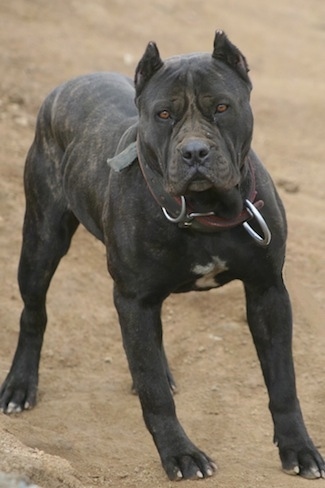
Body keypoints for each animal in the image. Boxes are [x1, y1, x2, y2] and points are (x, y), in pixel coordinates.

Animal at [0, 30, 324, 480]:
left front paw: (298, 447)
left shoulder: (268, 292)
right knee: (34, 313)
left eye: (222, 107)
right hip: (41, 243)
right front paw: (181, 454)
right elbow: (154, 394)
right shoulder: (133, 299)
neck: (204, 208)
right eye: (164, 114)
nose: (195, 152)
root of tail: (70, 83)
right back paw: (19, 385)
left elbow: (283, 381)